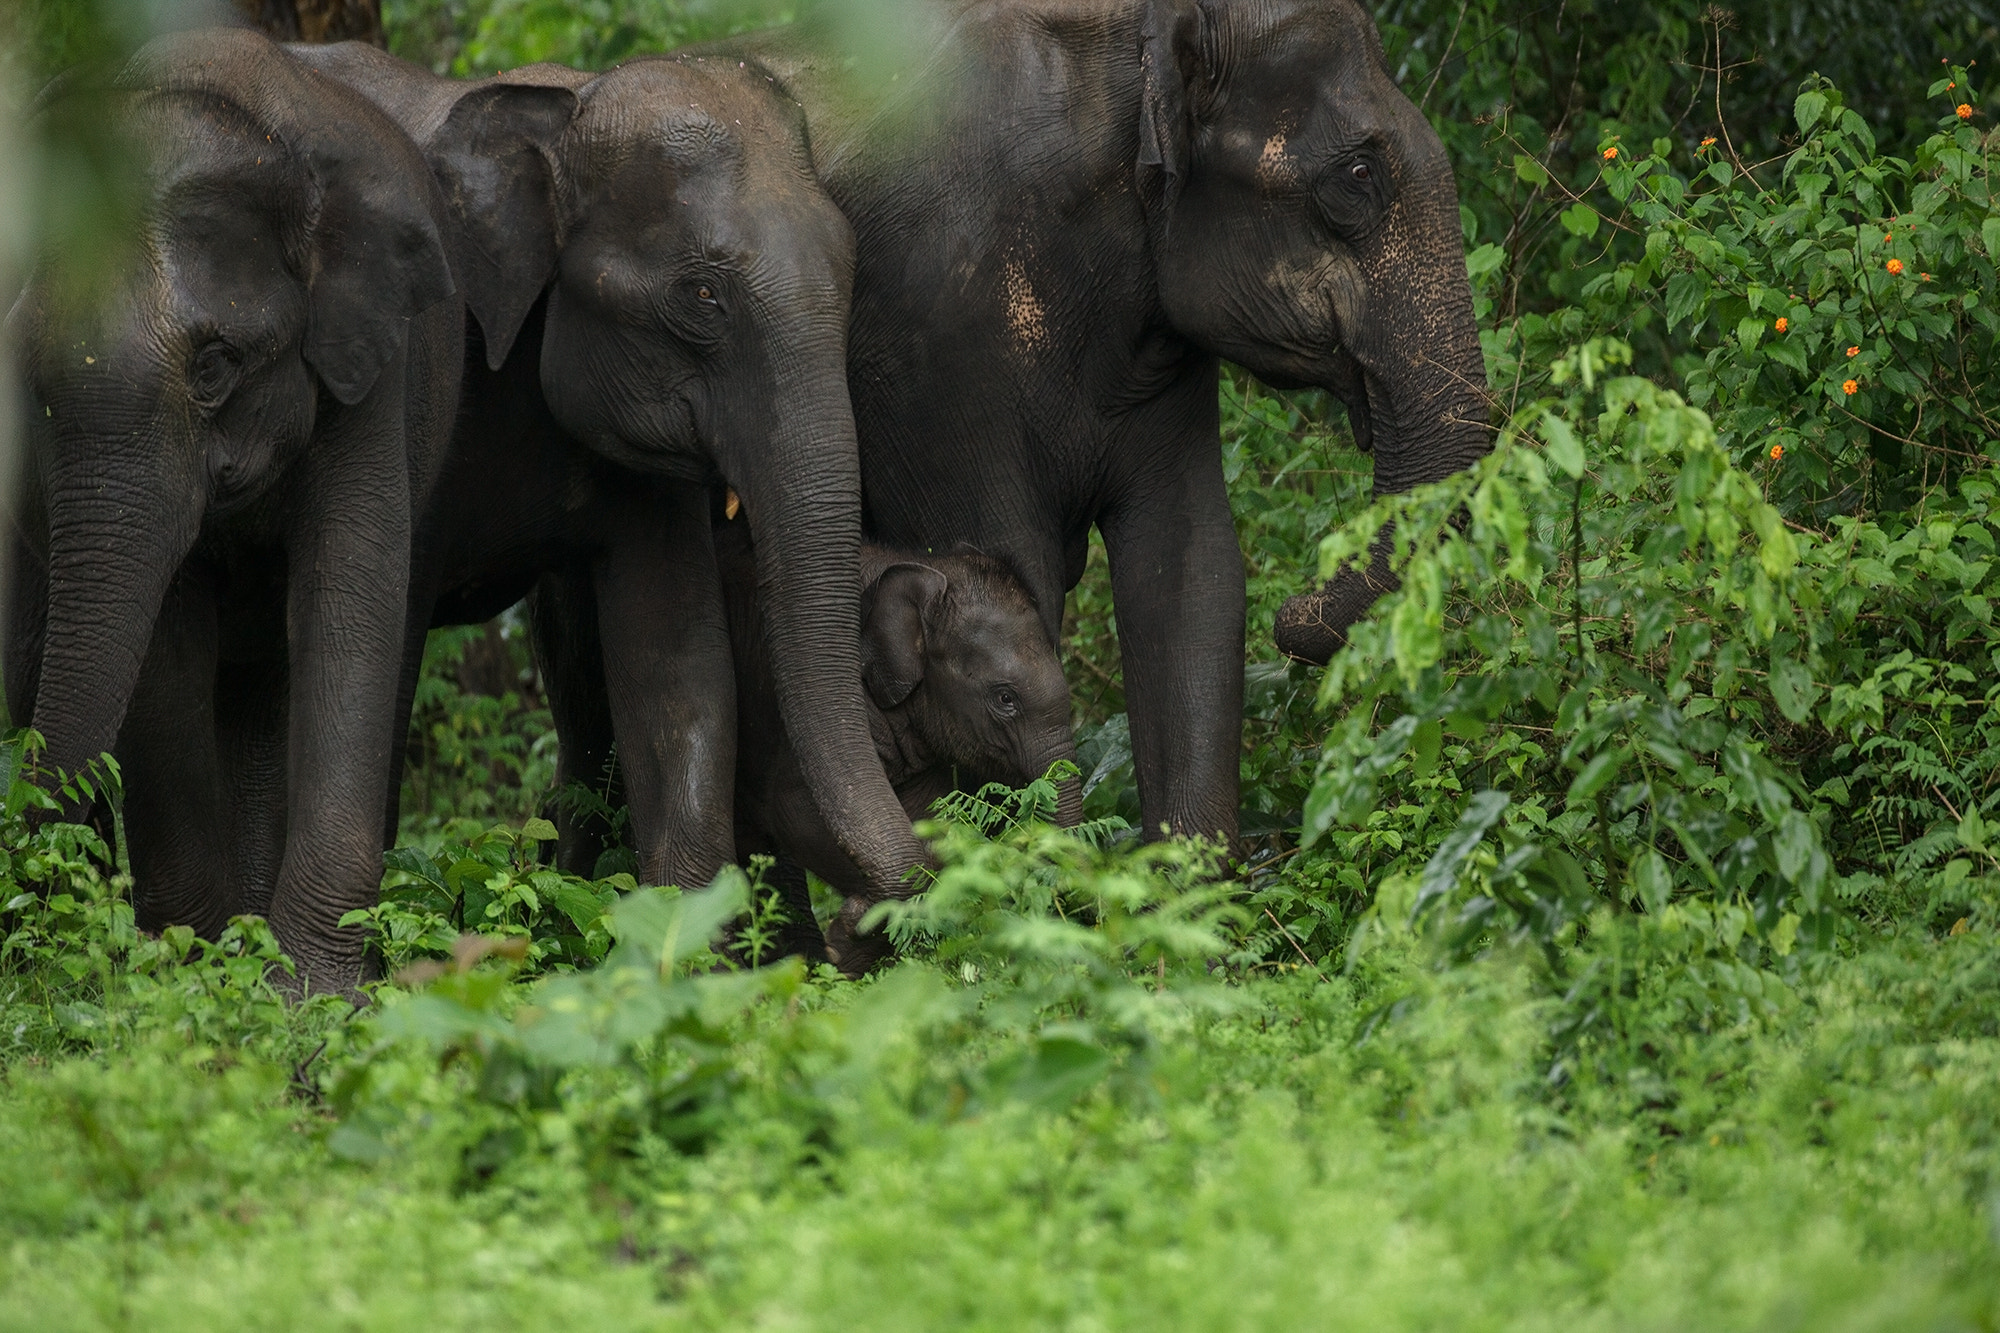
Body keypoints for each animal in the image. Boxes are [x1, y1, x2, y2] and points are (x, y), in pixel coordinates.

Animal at [5, 28, 463, 992]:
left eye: (216, 366)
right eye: (28, 380)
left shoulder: (371, 361)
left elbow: (350, 600)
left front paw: (308, 996)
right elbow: (167, 643)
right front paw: (193, 971)